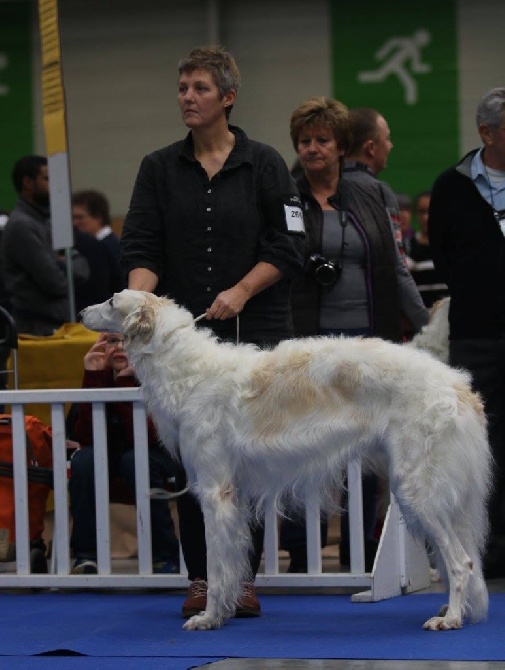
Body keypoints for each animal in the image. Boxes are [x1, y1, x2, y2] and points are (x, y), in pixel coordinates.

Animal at [81, 292, 488, 632]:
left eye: (112, 299)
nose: (82, 312)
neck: (188, 370)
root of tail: (458, 386)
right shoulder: (234, 496)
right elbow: (231, 564)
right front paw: (225, 611)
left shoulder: (215, 492)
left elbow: (217, 566)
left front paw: (209, 617)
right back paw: (453, 609)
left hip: (417, 489)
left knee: (461, 562)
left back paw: (450, 618)